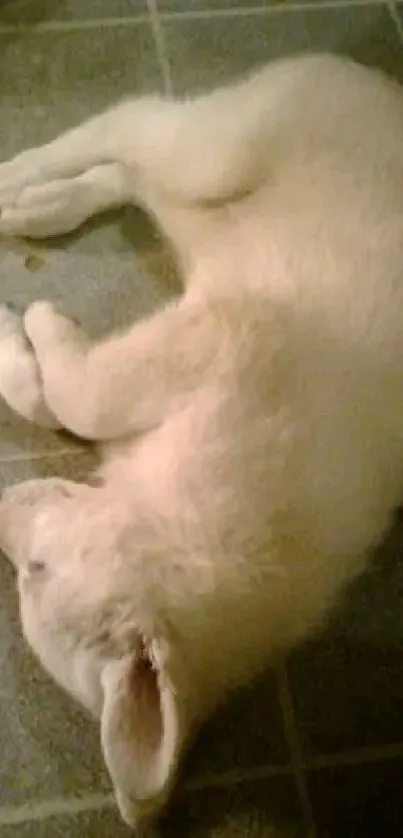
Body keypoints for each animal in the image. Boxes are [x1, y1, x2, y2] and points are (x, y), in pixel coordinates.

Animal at [0, 54, 403, 832]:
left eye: (32, 570)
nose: (1, 505)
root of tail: (378, 86)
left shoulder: (208, 340)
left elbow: (70, 398)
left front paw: (30, 328)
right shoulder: (214, 336)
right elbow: (70, 397)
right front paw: (32, 326)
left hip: (204, 186)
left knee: (130, 161)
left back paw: (38, 205)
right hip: (221, 154)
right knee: (127, 123)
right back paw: (22, 179)